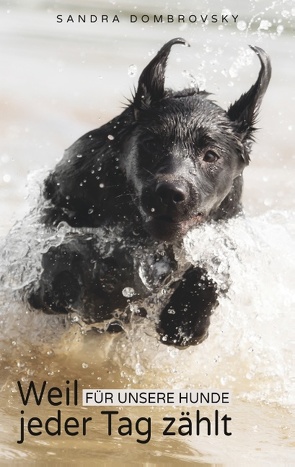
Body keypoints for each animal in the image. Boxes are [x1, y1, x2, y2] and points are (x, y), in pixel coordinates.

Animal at [26, 37, 272, 348]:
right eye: (153, 143)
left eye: (211, 155)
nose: (171, 193)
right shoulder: (65, 200)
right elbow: (64, 245)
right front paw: (62, 285)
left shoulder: (225, 225)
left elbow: (214, 262)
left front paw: (185, 319)